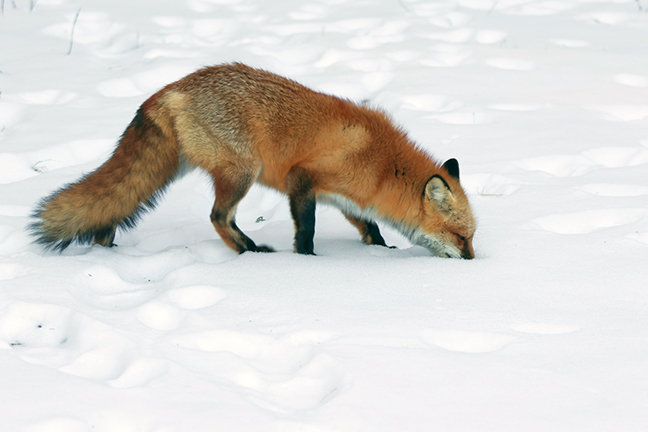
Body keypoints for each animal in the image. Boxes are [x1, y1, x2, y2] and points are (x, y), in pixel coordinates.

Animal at [30, 63, 476, 259]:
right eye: (460, 237)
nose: (472, 264)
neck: (382, 164)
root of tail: (171, 87)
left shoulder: (347, 199)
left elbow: (371, 229)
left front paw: (379, 251)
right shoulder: (303, 178)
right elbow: (307, 230)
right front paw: (308, 261)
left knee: (109, 212)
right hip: (244, 172)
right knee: (217, 217)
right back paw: (250, 251)